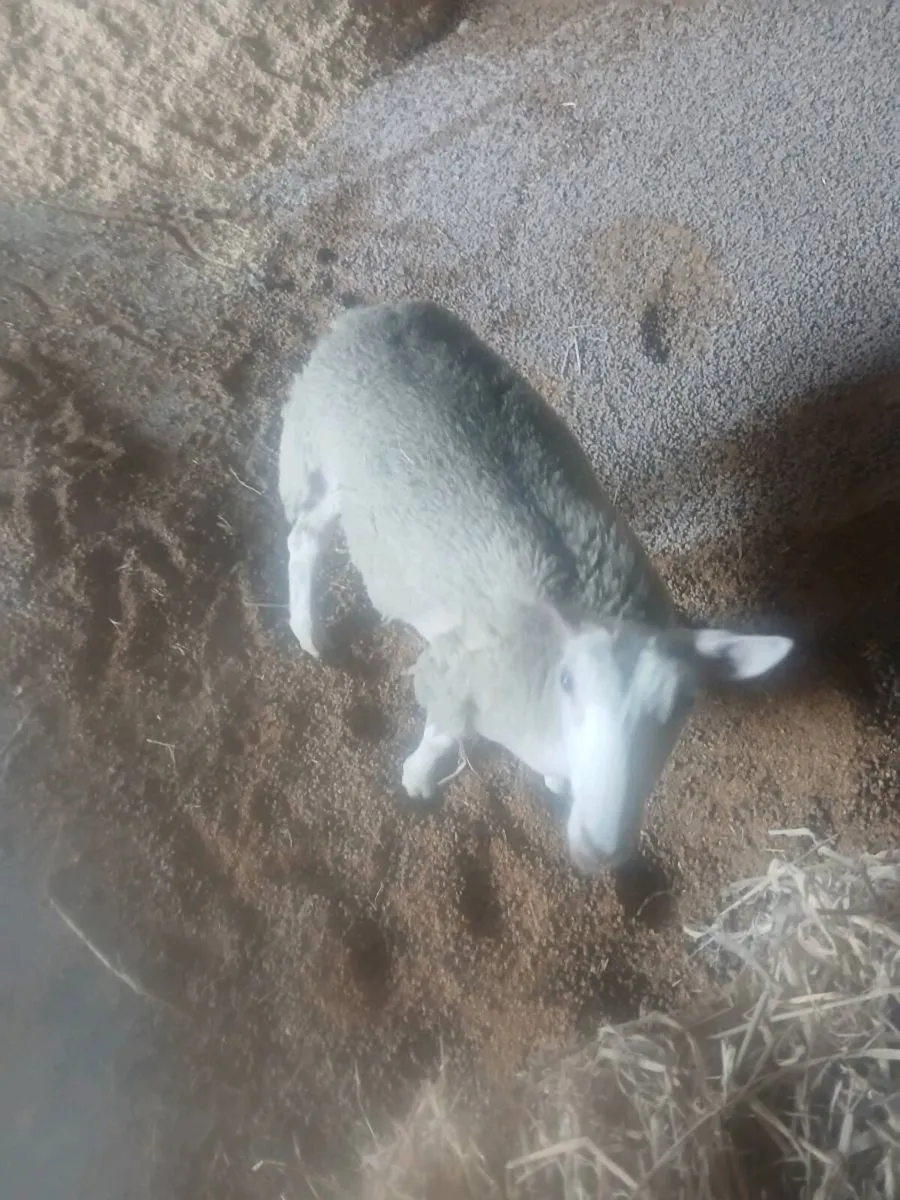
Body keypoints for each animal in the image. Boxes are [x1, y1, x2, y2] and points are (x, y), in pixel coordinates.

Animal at [278, 299, 793, 873]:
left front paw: (553, 781)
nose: (598, 851)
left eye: (685, 703)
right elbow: (442, 734)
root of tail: (370, 313)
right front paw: (416, 780)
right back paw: (309, 632)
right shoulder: (458, 673)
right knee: (304, 536)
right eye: (568, 683)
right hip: (317, 449)